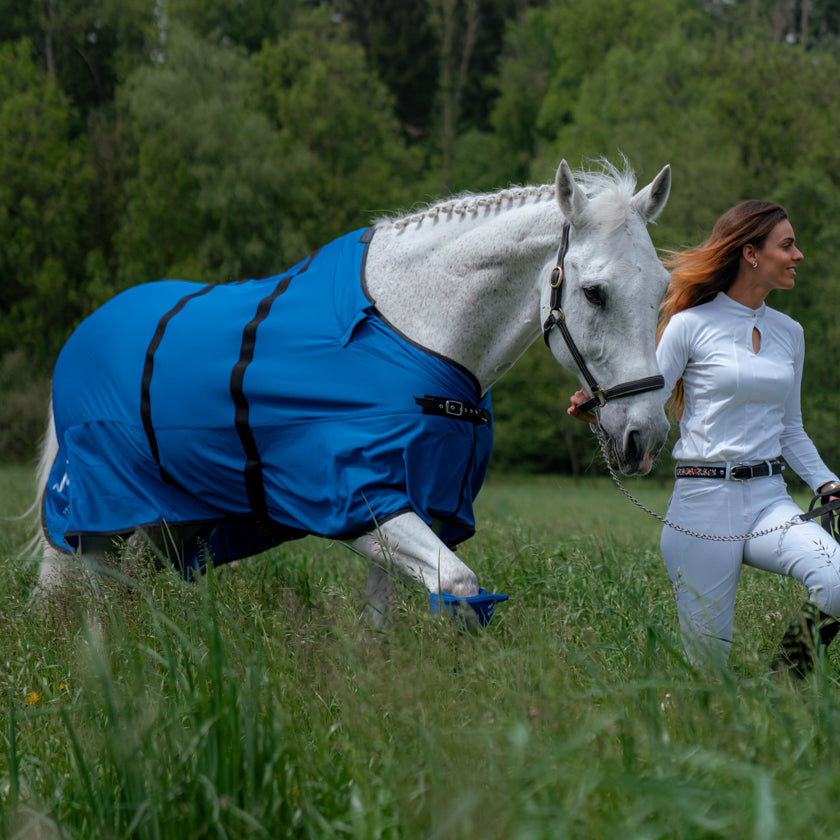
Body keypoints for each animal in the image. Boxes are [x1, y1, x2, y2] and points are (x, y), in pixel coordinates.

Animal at [32, 161, 672, 628]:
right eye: (593, 293)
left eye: (665, 287)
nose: (645, 435)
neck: (412, 332)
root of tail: (83, 334)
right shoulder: (362, 498)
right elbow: (460, 587)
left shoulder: (416, 501)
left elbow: (383, 619)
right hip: (97, 517)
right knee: (83, 601)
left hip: (160, 521)